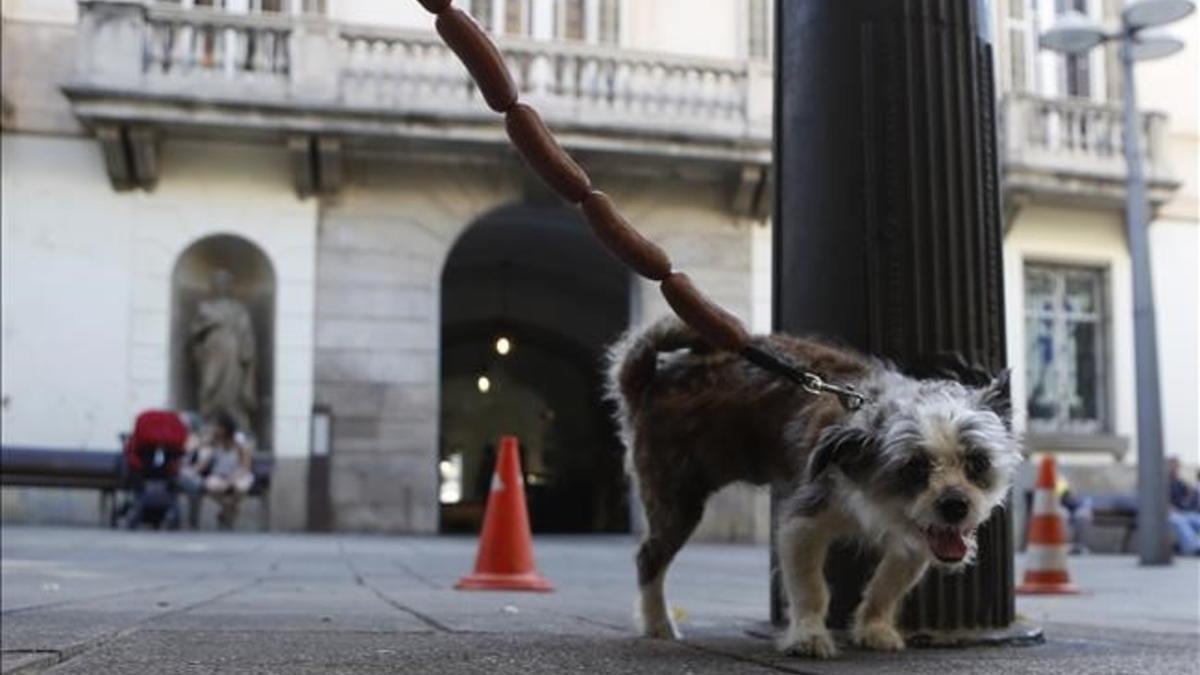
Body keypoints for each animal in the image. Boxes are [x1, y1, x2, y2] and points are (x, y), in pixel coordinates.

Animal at [609, 317, 1022, 658]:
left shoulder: (917, 542)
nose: (955, 505)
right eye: (914, 467)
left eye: (977, 463)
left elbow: (887, 586)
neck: (873, 500)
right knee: (649, 558)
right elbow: (811, 589)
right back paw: (658, 623)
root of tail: (650, 379)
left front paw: (873, 628)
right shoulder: (802, 524)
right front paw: (808, 636)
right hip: (677, 499)